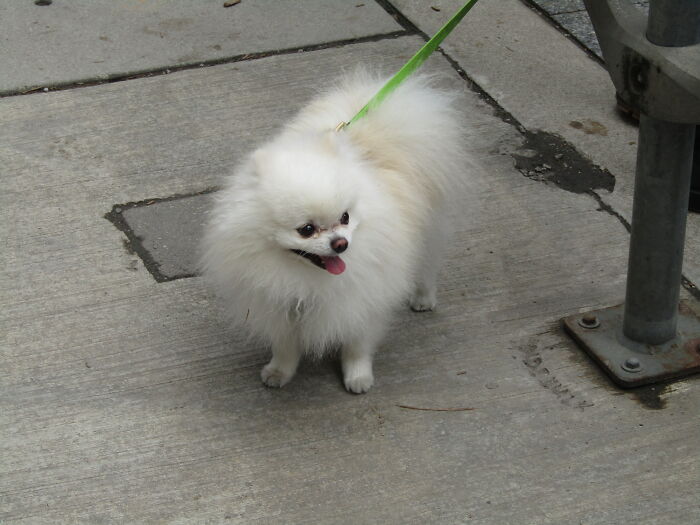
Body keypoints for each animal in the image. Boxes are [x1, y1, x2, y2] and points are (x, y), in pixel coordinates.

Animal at [200, 71, 468, 390]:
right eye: (306, 229)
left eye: (345, 217)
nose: (341, 243)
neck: (305, 278)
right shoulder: (281, 306)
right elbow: (285, 346)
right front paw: (279, 372)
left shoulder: (362, 300)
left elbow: (357, 345)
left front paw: (358, 376)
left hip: (429, 231)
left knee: (427, 265)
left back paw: (423, 298)